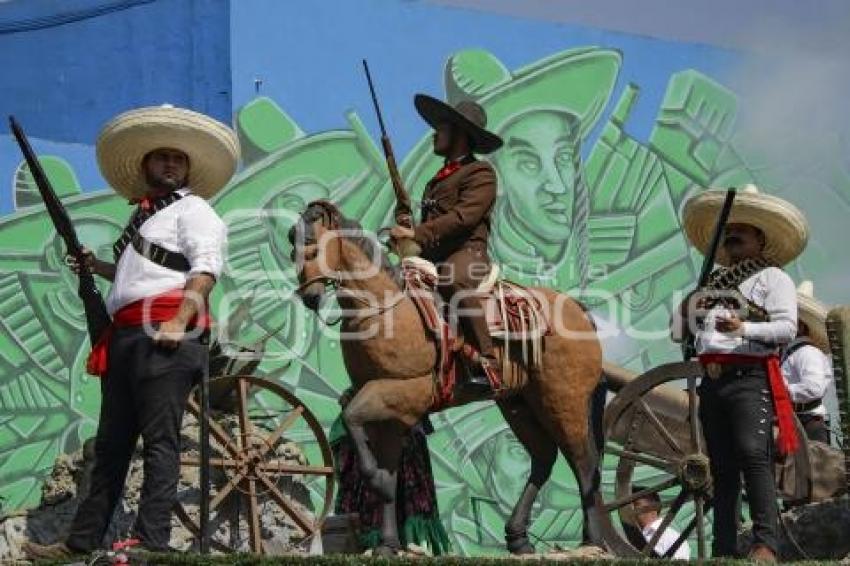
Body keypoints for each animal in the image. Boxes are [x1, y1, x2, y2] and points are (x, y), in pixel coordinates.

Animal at [288, 201, 628, 560]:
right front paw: (387, 544)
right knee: (544, 458)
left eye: (312, 245)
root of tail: (579, 310)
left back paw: (591, 540)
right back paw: (518, 538)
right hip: (519, 404)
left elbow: (354, 420)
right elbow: (388, 467)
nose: (310, 297)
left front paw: (376, 486)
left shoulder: (401, 392)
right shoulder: (391, 414)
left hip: (563, 400)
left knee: (583, 461)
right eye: (291, 247)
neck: (387, 311)